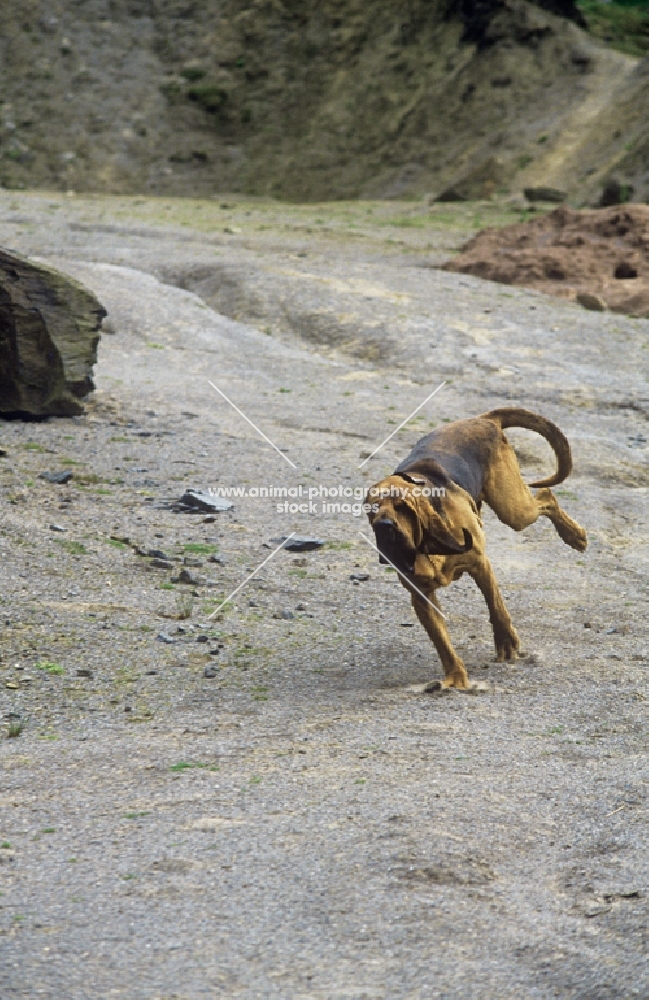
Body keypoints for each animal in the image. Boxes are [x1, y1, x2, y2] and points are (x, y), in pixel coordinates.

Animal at [368, 410, 584, 692]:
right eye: (372, 508)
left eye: (403, 507)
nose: (384, 526)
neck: (427, 547)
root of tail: (484, 419)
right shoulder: (421, 596)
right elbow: (443, 643)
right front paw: (455, 678)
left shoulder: (480, 564)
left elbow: (495, 605)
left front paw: (506, 643)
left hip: (514, 510)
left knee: (547, 496)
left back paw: (575, 536)